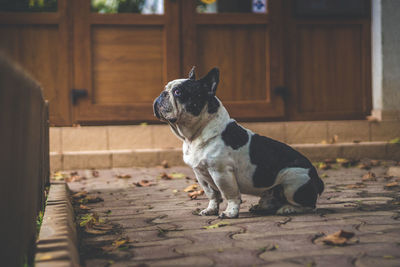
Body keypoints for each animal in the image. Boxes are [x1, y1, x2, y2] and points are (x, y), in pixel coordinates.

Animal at [153, 66, 324, 218]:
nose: (162, 94)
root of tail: (316, 177)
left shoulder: (221, 173)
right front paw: (211, 210)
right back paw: (262, 206)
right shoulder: (201, 175)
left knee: (310, 205)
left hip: (293, 183)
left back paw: (288, 209)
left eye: (178, 92)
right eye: (166, 89)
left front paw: (230, 213)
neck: (195, 135)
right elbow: (212, 195)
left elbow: (230, 195)